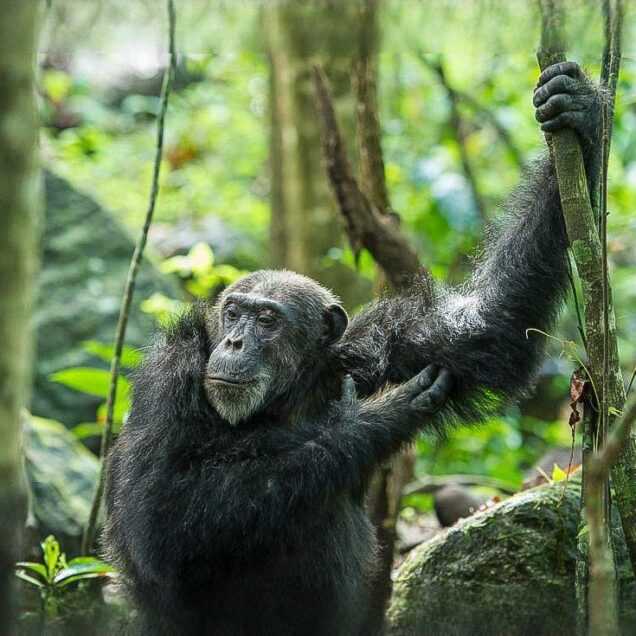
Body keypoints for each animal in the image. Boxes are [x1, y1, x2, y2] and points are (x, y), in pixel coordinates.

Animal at [102, 60, 604, 636]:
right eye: (232, 312)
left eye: (266, 319)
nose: (234, 339)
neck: (284, 398)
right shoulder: (168, 380)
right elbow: (161, 514)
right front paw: (378, 418)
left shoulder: (376, 347)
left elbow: (491, 324)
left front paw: (579, 107)